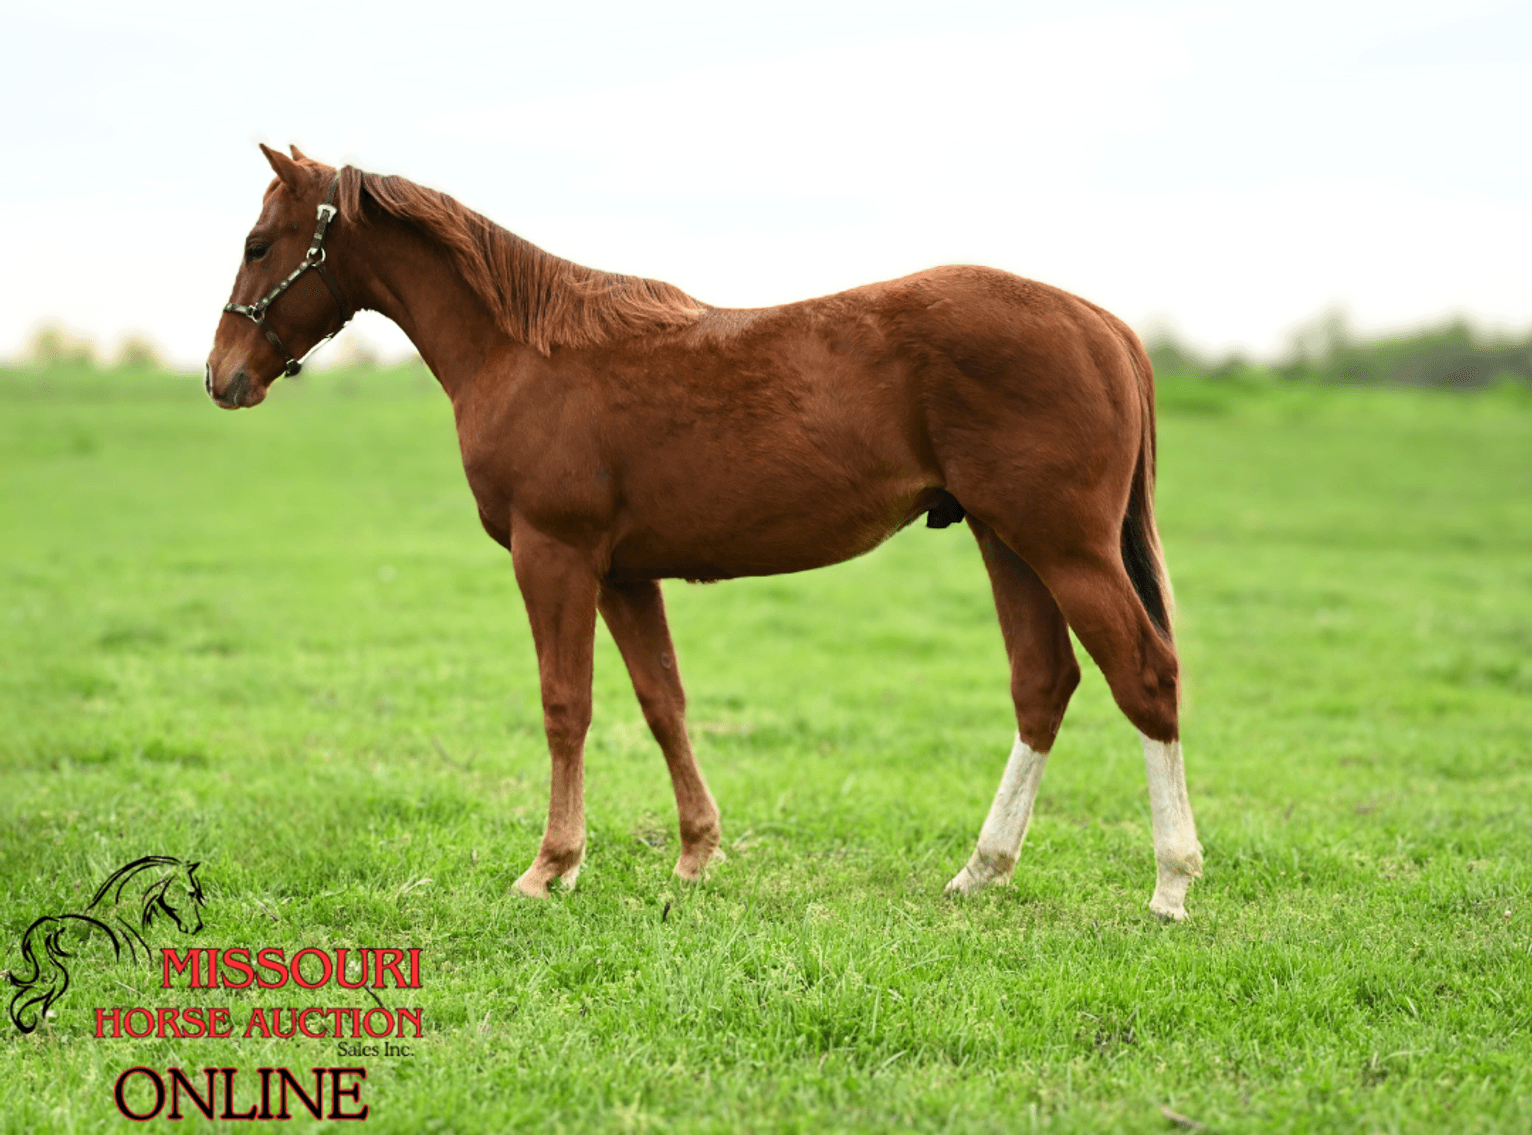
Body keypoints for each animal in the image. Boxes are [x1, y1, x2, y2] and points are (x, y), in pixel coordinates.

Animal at [205, 144, 1203, 919]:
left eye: (259, 243)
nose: (223, 375)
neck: (524, 351)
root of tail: (1105, 326)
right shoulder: (623, 574)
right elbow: (663, 703)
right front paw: (695, 853)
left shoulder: (554, 556)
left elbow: (566, 706)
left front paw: (550, 867)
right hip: (1007, 541)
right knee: (1045, 684)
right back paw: (981, 870)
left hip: (1064, 548)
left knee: (1144, 675)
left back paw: (1171, 883)